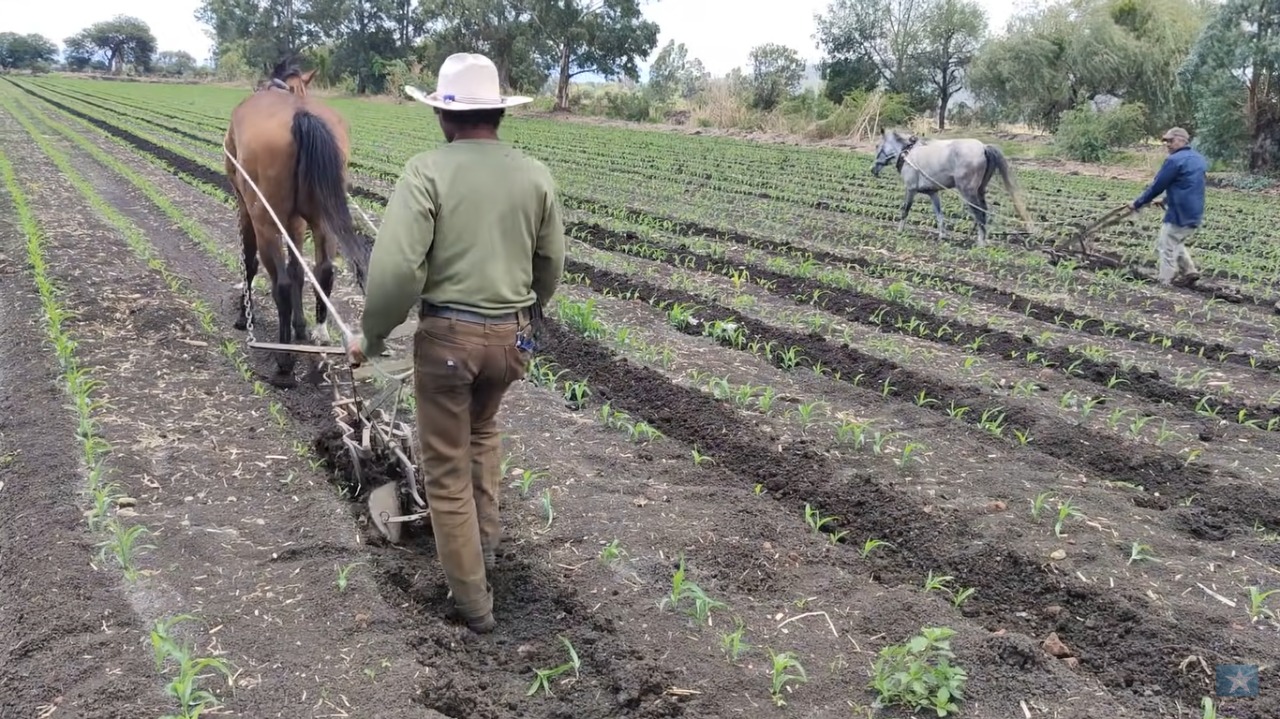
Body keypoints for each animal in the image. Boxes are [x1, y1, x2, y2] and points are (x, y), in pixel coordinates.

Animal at [224, 55, 373, 383]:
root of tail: (301, 116)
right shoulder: (297, 221)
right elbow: (299, 272)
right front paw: (300, 326)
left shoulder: (245, 207)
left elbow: (251, 264)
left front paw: (243, 316)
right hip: (322, 218)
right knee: (324, 271)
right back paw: (319, 341)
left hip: (265, 219)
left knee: (278, 282)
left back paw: (284, 362)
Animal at [870, 129, 1039, 248]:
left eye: (877, 145)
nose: (873, 170)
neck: (907, 153)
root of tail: (983, 147)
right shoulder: (933, 193)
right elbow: (939, 214)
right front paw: (942, 235)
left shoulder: (910, 189)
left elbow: (905, 210)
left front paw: (899, 231)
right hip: (979, 190)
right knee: (983, 212)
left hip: (967, 192)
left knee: (979, 214)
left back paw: (980, 243)